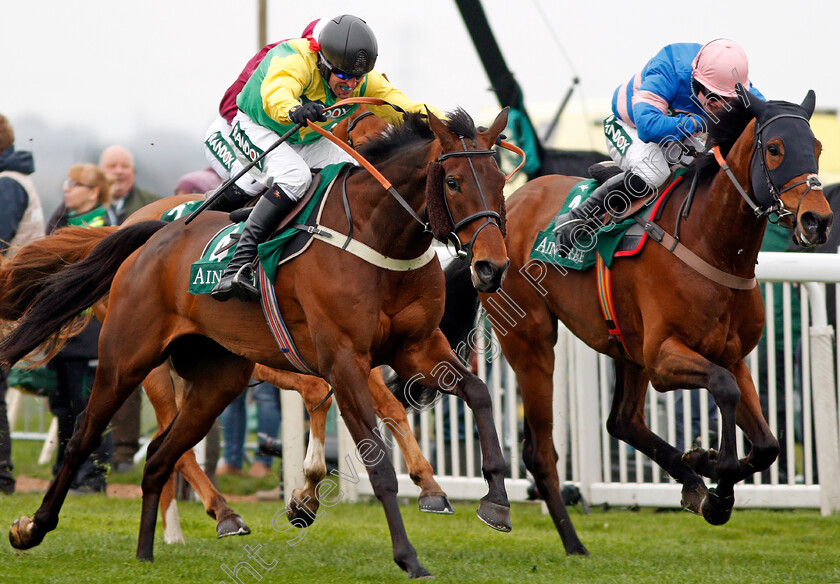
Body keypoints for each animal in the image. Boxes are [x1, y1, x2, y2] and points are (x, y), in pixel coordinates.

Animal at [0, 107, 512, 576]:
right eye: (453, 182)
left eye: (500, 180)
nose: (491, 266)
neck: (378, 239)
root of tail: (153, 234)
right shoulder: (344, 361)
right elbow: (378, 462)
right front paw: (408, 555)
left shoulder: (416, 347)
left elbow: (479, 393)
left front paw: (495, 502)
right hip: (127, 360)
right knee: (84, 437)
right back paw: (33, 528)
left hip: (217, 381)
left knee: (161, 454)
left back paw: (151, 549)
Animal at [440, 89, 832, 556]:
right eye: (774, 148)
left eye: (818, 147)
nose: (818, 220)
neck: (712, 244)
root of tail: (496, 217)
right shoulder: (664, 357)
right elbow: (723, 389)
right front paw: (718, 484)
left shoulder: (732, 356)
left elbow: (768, 444)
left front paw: (705, 467)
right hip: (531, 339)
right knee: (541, 450)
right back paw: (572, 542)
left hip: (625, 345)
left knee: (622, 421)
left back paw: (689, 477)